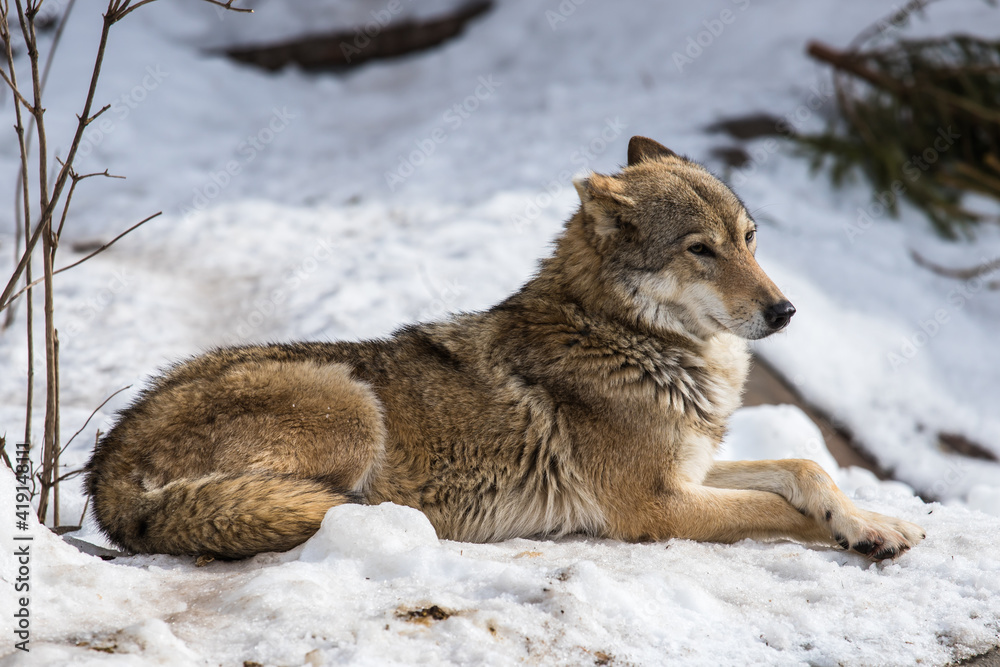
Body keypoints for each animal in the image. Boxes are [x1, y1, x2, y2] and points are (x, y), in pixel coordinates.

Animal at [85, 136, 924, 561]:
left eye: (749, 239)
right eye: (700, 250)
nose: (785, 311)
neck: (628, 337)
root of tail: (106, 468)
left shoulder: (689, 470)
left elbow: (804, 468)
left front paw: (873, 517)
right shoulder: (655, 504)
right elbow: (777, 506)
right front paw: (870, 532)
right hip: (352, 405)